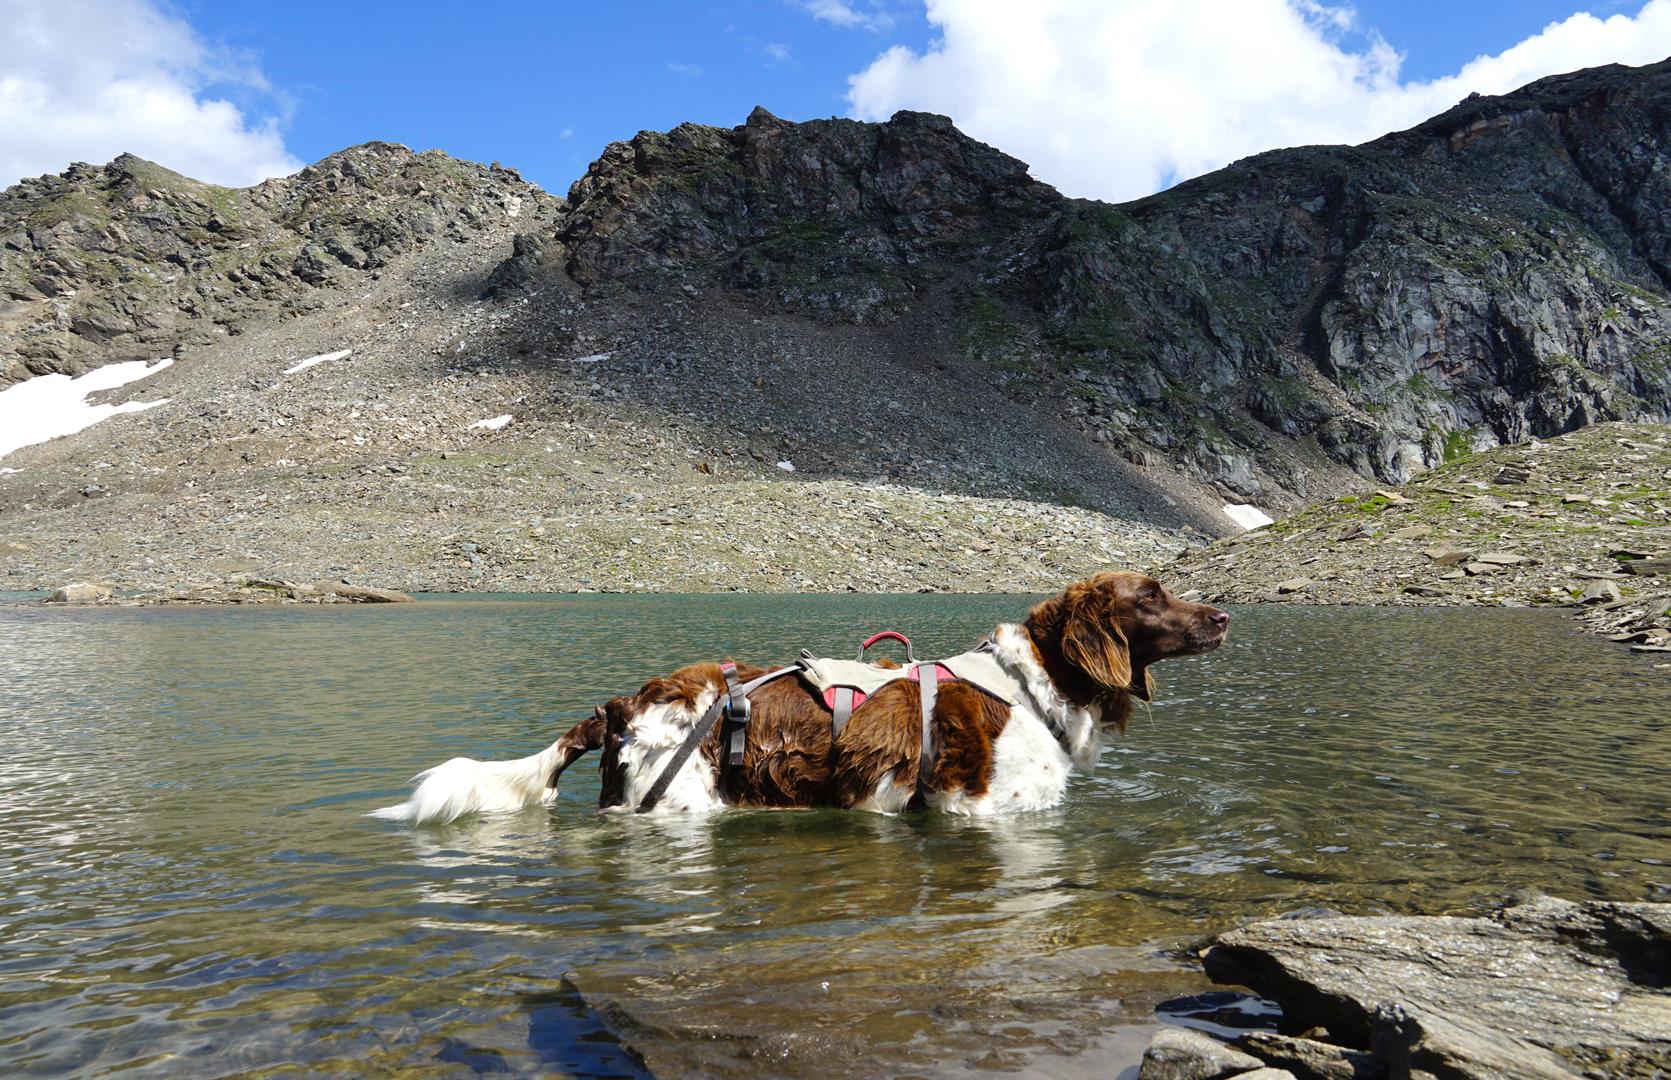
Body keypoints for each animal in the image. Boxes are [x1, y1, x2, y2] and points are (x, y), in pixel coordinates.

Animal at [375, 575, 1229, 829]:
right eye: (1151, 596)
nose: (1222, 616)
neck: (1034, 683)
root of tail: (624, 704)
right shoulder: (986, 812)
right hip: (678, 801)